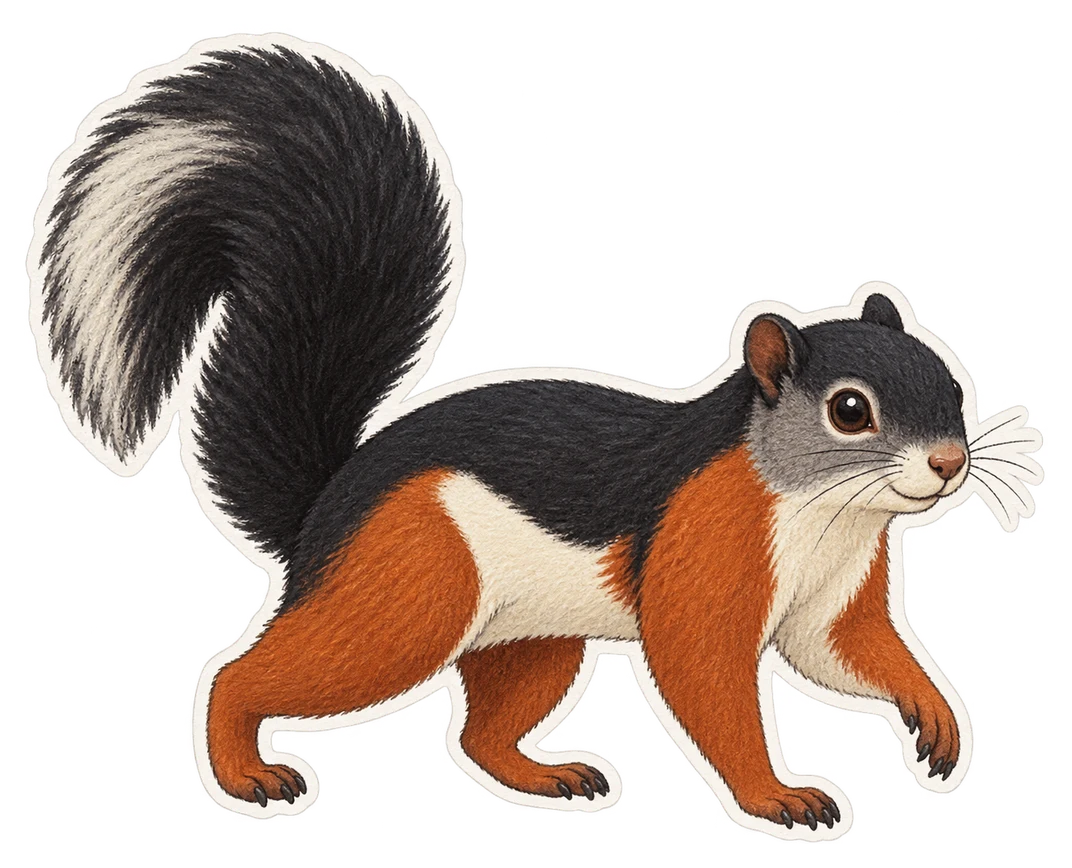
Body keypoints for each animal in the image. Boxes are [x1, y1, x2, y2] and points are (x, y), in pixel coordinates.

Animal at [31, 36, 981, 834]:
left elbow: (847, 652)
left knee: (479, 733)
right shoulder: (701, 551)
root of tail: (322, 512)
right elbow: (707, 677)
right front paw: (776, 794)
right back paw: (246, 772)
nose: (947, 464)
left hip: (529, 636)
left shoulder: (834, 598)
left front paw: (936, 719)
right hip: (403, 595)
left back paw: (546, 777)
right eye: (849, 410)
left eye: (950, 386)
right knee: (248, 674)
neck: (823, 511)